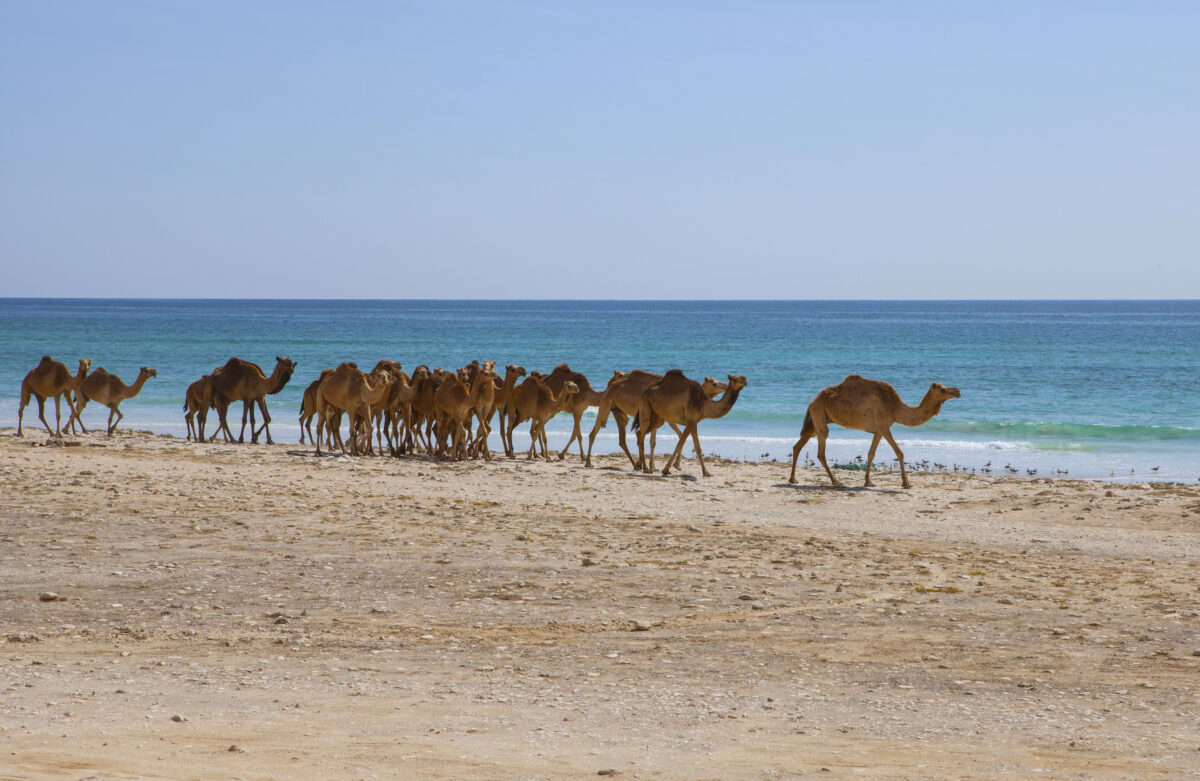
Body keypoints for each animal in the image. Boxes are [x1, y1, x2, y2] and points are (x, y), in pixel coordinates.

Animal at [585, 370, 729, 469]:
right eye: (714, 383)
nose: (726, 386)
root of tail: (610, 385)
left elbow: (656, 440)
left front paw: (658, 466)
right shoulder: (667, 418)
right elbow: (668, 437)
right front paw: (655, 466)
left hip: (619, 411)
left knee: (622, 439)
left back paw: (635, 465)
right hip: (606, 405)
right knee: (594, 432)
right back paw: (588, 463)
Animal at [788, 374, 961, 489]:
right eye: (943, 389)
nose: (957, 391)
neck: (896, 407)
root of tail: (812, 402)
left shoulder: (879, 430)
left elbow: (871, 453)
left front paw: (868, 481)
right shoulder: (884, 426)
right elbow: (899, 453)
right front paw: (906, 483)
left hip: (815, 420)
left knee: (798, 446)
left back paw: (793, 479)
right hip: (819, 414)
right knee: (821, 451)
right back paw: (836, 482)